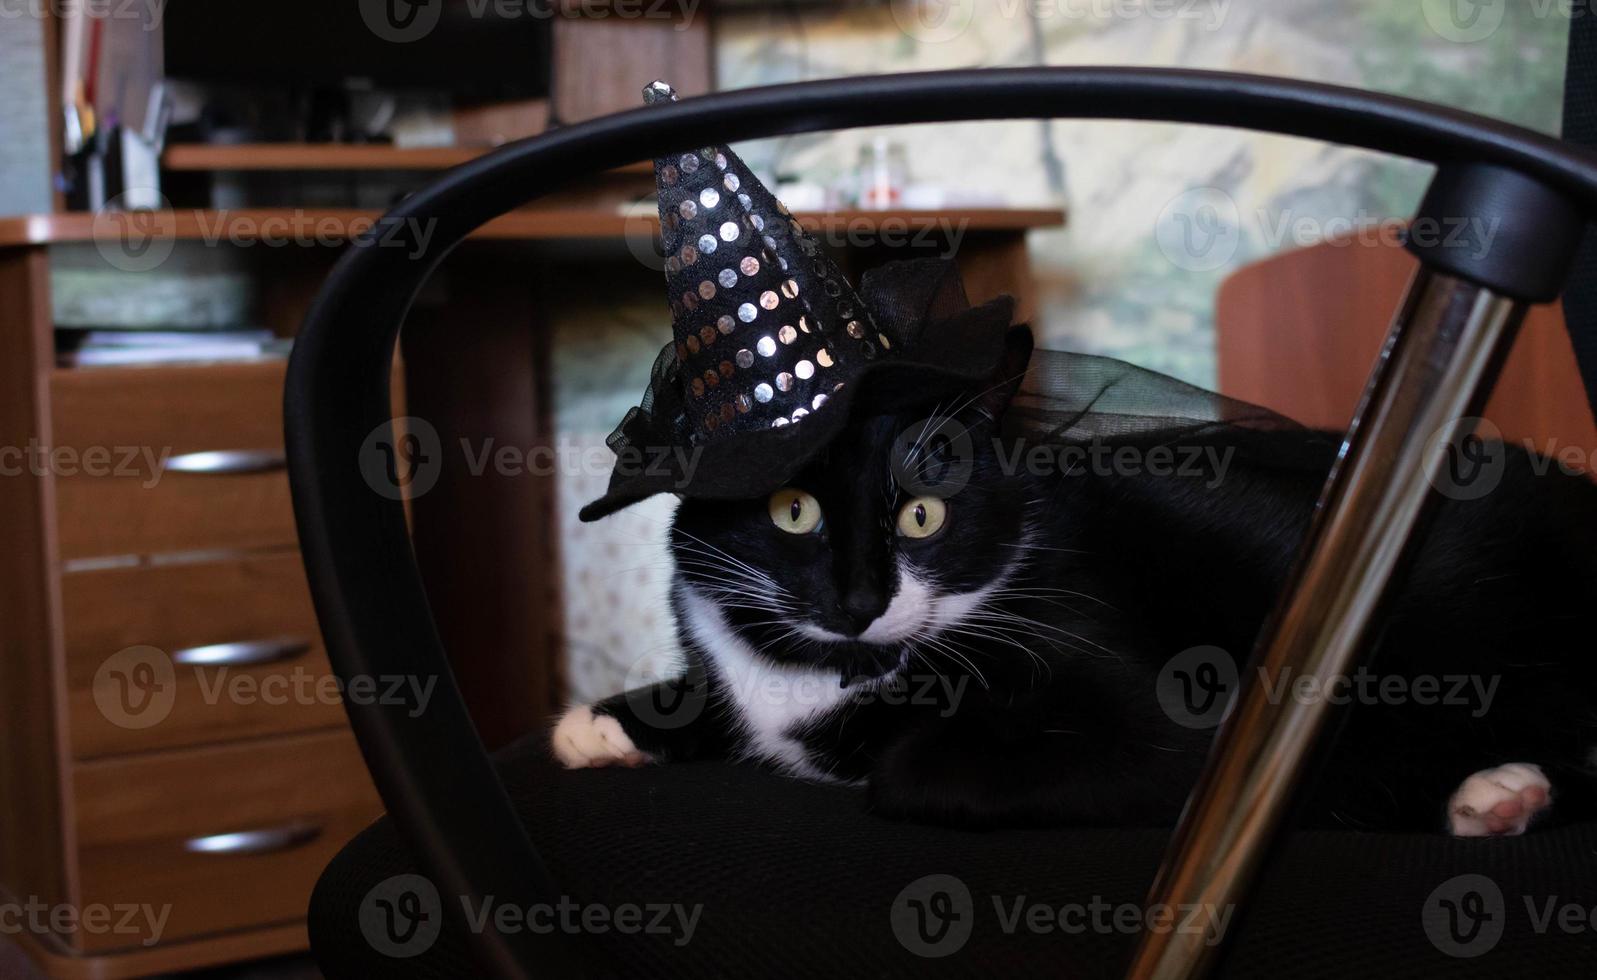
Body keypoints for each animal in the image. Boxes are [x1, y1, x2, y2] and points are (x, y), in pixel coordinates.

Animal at [555, 333, 1597, 842]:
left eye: (922, 517)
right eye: (792, 510)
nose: (857, 602)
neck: (823, 679)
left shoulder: (1156, 711)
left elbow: (909, 771)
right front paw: (603, 723)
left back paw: (1499, 796)